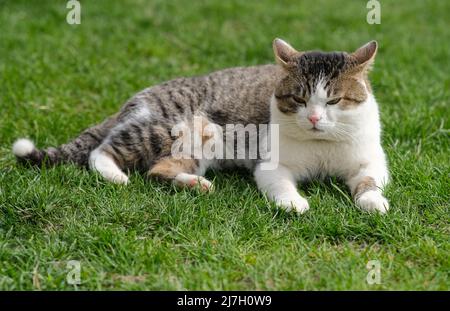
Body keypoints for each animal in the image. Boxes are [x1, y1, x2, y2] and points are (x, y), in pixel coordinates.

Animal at [12, 38, 388, 214]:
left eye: (333, 102)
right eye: (299, 99)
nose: (313, 118)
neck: (322, 144)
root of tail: (137, 97)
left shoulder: (371, 160)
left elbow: (369, 180)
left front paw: (373, 202)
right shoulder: (271, 165)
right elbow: (281, 185)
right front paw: (294, 203)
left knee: (158, 171)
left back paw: (196, 184)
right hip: (170, 128)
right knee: (102, 152)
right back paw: (116, 176)